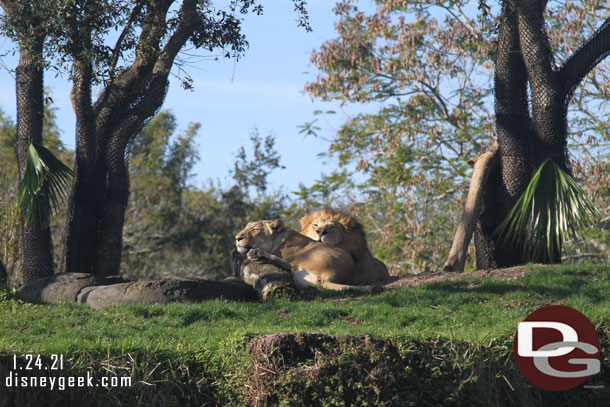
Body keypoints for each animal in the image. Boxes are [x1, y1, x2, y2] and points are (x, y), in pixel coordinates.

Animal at [234, 220, 376, 290]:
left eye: (255, 229)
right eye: (245, 228)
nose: (237, 238)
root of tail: (331, 277)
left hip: (306, 255)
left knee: (289, 268)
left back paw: (257, 254)